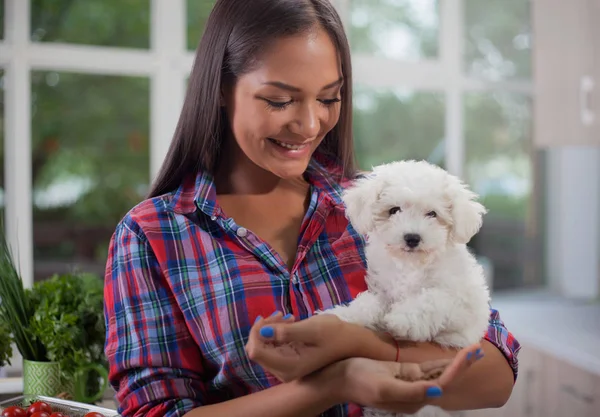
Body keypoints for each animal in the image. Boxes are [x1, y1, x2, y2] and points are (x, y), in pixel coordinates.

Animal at [324, 160, 492, 416]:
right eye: (394, 210)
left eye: (432, 214)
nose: (412, 237)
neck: (411, 264)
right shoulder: (384, 289)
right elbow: (369, 302)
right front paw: (344, 315)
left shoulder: (461, 305)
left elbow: (431, 299)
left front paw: (401, 319)